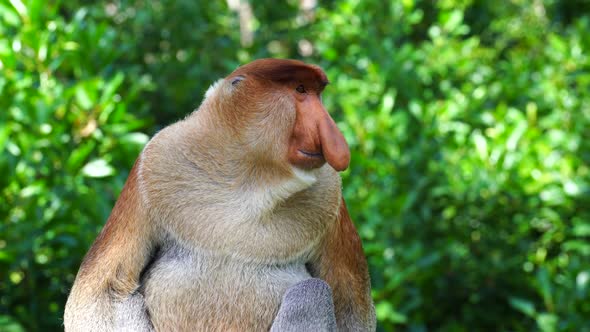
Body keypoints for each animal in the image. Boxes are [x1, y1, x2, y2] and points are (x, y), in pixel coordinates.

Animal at [65, 59, 376, 332]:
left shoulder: (330, 195)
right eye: (300, 90)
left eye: (316, 94)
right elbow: (102, 292)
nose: (334, 137)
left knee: (312, 291)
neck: (249, 176)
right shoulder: (153, 163)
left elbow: (351, 309)